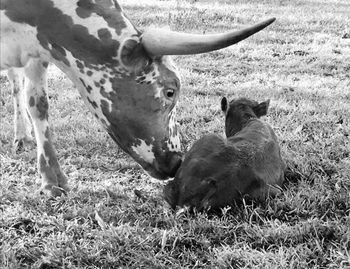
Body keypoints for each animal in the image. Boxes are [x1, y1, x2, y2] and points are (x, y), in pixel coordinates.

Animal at [0, 0, 274, 197]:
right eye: (170, 91)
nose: (176, 161)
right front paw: (51, 182)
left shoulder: (37, 52)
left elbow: (38, 104)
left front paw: (52, 179)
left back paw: (22, 135)